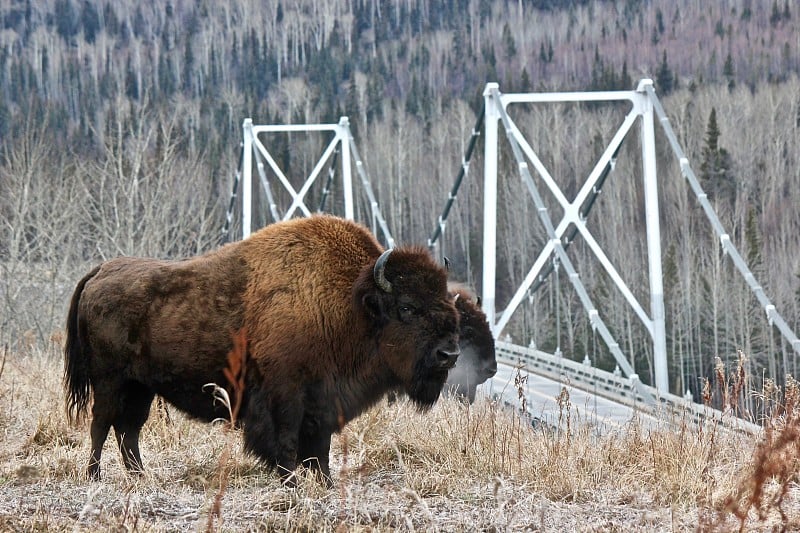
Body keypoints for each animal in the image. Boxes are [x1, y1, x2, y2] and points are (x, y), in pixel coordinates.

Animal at [65, 214, 460, 484]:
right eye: (407, 307)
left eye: (447, 300)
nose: (450, 355)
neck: (350, 304)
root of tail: (100, 272)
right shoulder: (285, 397)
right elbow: (286, 443)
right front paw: (291, 481)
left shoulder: (323, 403)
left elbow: (320, 449)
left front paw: (325, 483)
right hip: (110, 382)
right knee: (101, 424)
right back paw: (94, 476)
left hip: (140, 387)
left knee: (128, 430)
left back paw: (140, 476)